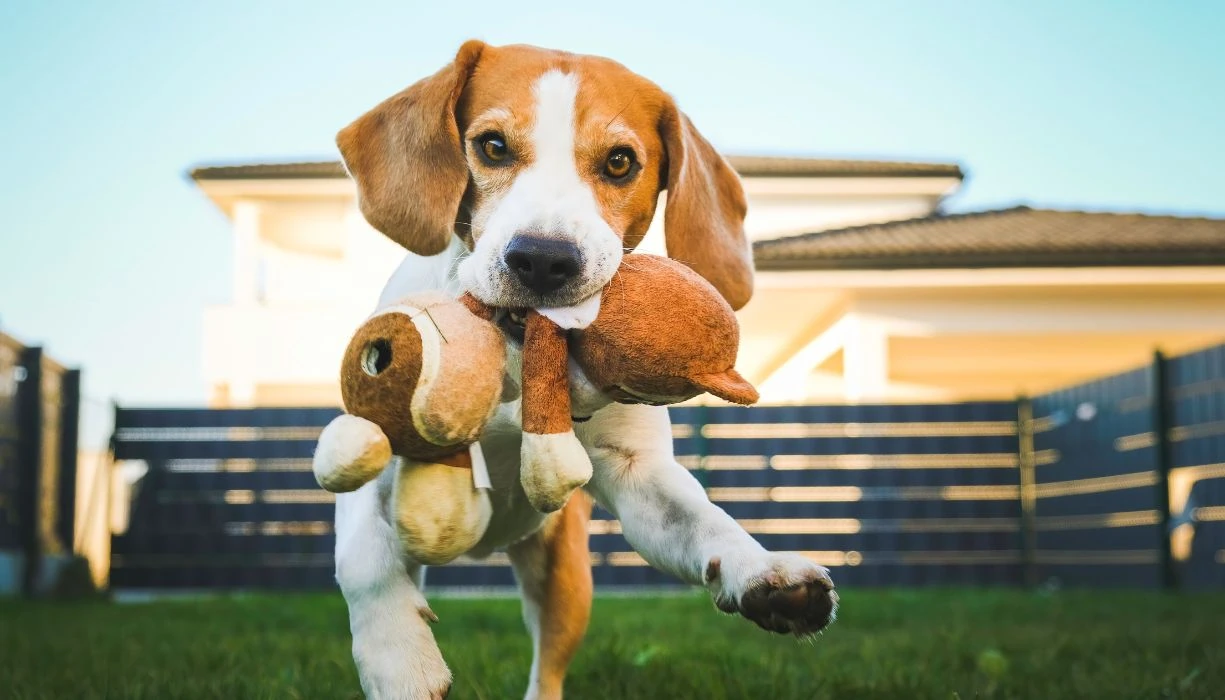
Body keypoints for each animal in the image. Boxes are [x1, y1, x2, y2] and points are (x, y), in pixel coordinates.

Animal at [330, 41, 837, 696]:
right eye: (492, 146)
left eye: (620, 162)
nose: (543, 259)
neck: (517, 358)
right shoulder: (373, 453)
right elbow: (362, 561)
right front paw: (397, 656)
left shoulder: (637, 476)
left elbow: (707, 520)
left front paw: (762, 572)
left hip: (565, 580)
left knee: (547, 669)